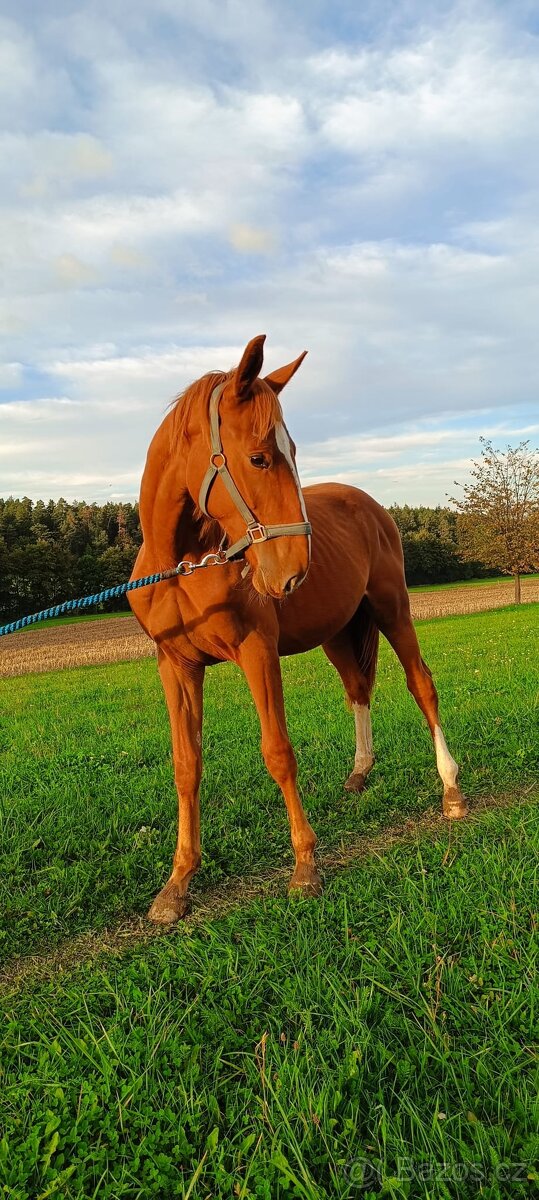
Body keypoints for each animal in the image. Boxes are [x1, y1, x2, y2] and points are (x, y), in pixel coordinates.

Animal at [129, 333, 465, 921]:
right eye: (259, 457)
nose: (291, 571)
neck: (182, 566)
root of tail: (368, 503)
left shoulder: (256, 653)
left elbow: (279, 753)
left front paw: (305, 867)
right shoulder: (177, 666)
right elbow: (186, 765)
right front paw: (176, 885)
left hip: (392, 609)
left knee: (421, 684)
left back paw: (451, 791)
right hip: (338, 633)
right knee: (358, 689)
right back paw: (359, 774)